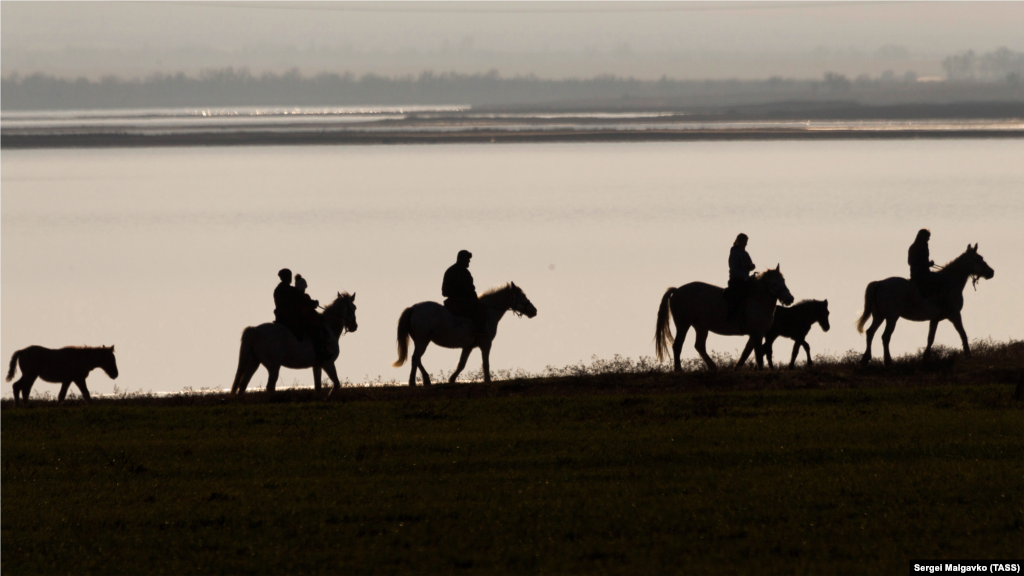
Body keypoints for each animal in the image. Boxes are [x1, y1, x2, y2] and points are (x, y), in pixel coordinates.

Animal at [230, 291, 358, 393]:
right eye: (354, 307)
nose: (354, 326)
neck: (329, 328)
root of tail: (255, 330)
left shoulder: (317, 366)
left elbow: (318, 387)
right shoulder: (328, 363)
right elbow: (336, 385)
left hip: (254, 362)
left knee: (243, 385)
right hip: (273, 366)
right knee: (270, 386)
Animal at [391, 282, 536, 385]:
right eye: (522, 296)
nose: (534, 311)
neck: (488, 311)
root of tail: (413, 308)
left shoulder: (468, 347)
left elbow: (461, 364)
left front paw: (451, 380)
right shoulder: (486, 343)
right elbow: (485, 364)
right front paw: (487, 380)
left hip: (421, 341)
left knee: (417, 359)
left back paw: (424, 380)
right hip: (422, 341)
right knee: (416, 358)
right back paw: (415, 381)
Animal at [655, 266, 798, 368]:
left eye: (783, 280)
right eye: (774, 284)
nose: (789, 299)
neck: (758, 300)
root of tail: (677, 290)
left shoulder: (755, 334)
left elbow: (746, 353)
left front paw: (736, 369)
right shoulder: (757, 333)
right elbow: (758, 355)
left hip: (701, 327)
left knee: (699, 346)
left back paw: (713, 367)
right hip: (683, 325)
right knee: (677, 346)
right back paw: (678, 370)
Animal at [856, 241, 991, 362]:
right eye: (979, 258)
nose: (991, 272)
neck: (950, 281)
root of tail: (880, 283)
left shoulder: (935, 319)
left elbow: (930, 338)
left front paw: (925, 358)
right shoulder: (955, 315)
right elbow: (962, 334)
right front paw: (968, 355)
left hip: (879, 316)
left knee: (870, 332)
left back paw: (865, 359)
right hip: (891, 317)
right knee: (885, 336)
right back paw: (888, 361)